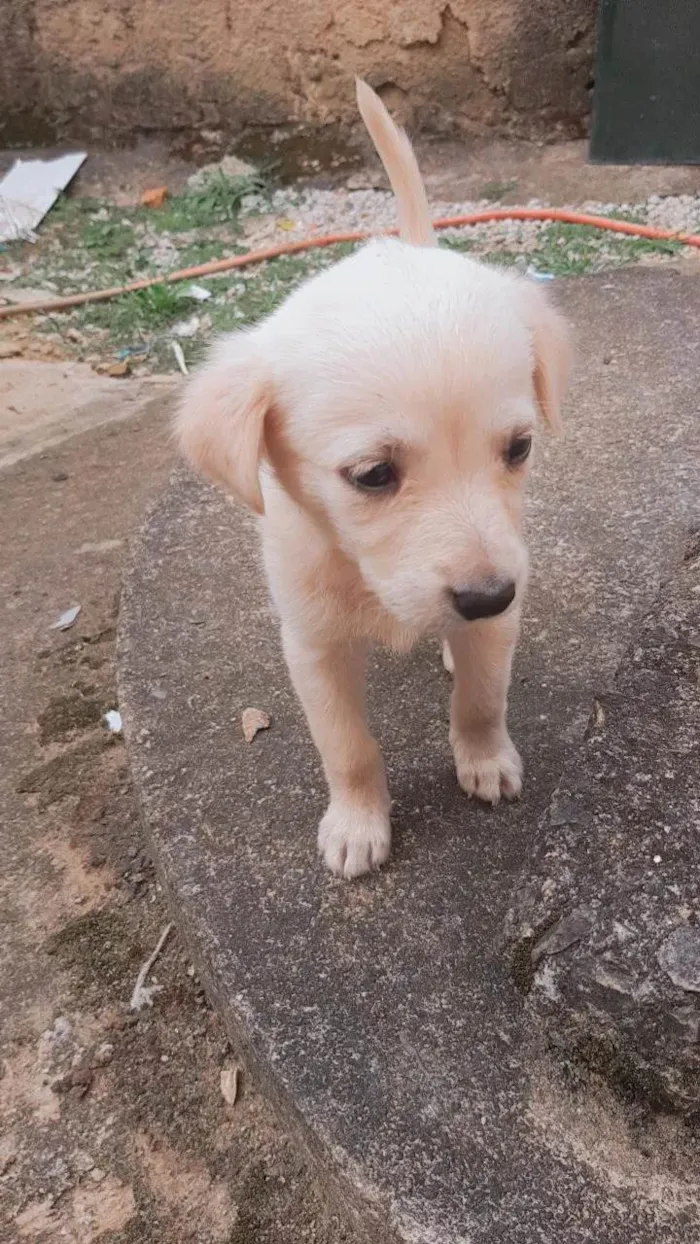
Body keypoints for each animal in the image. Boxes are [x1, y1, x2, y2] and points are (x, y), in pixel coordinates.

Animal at [175, 77, 569, 880]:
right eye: (373, 474)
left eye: (518, 449)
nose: (487, 596)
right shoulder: (312, 645)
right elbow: (347, 747)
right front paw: (358, 824)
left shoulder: (503, 611)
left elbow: (483, 699)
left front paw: (485, 760)